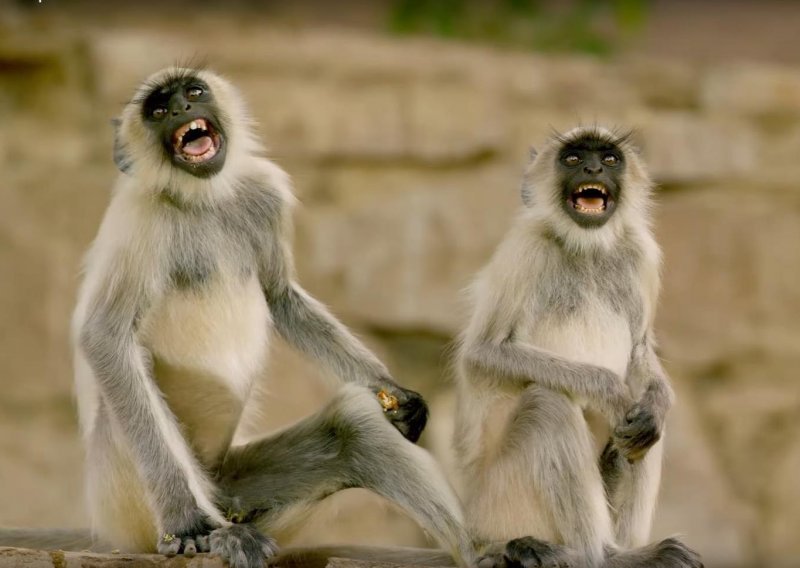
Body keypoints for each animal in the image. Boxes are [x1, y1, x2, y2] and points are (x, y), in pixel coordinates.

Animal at [0, 67, 476, 568]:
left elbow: (281, 296)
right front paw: (186, 520)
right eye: (157, 109)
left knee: (354, 427)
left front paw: (395, 394)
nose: (180, 109)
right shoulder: (142, 219)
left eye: (193, 91)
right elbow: (104, 338)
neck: (203, 197)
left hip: (234, 487)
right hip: (129, 503)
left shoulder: (264, 192)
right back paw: (214, 532)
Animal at [456, 125, 700, 568]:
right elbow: (483, 354)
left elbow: (640, 352)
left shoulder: (641, 255)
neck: (587, 247)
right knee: (548, 404)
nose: (591, 169)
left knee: (645, 432)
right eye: (572, 159)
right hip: (500, 502)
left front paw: (653, 403)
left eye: (608, 159)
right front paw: (610, 392)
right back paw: (601, 555)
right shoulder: (526, 250)